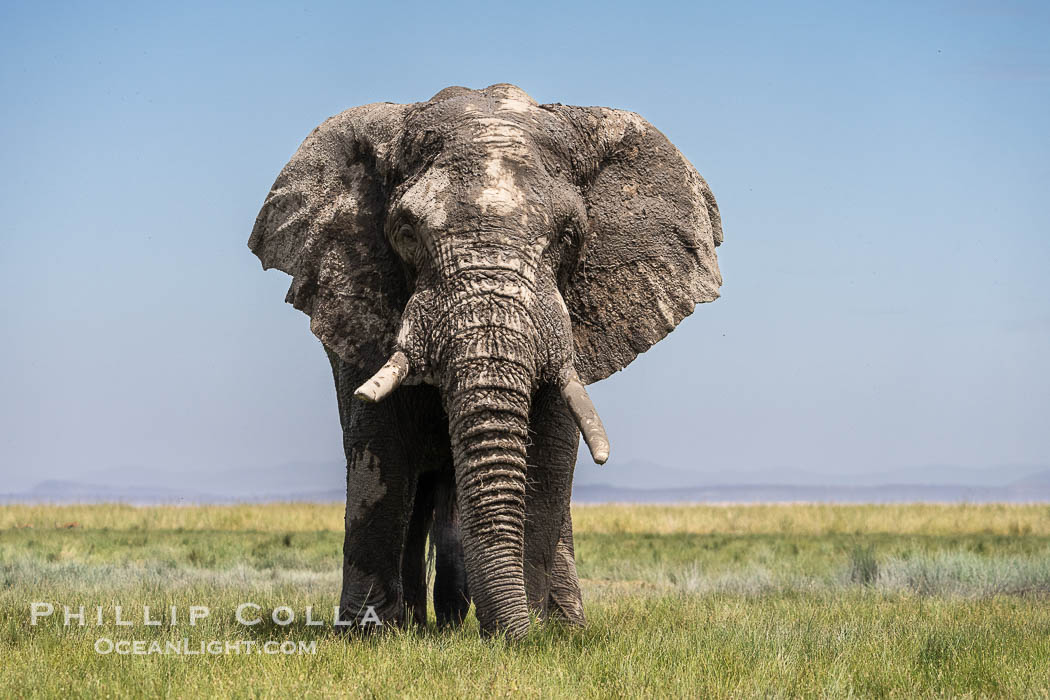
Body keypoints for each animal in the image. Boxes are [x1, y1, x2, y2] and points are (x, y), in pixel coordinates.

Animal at [249, 84, 723, 639]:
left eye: (569, 237)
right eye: (406, 233)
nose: (511, 632)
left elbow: (547, 459)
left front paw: (534, 636)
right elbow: (380, 454)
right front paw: (370, 637)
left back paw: (544, 625)